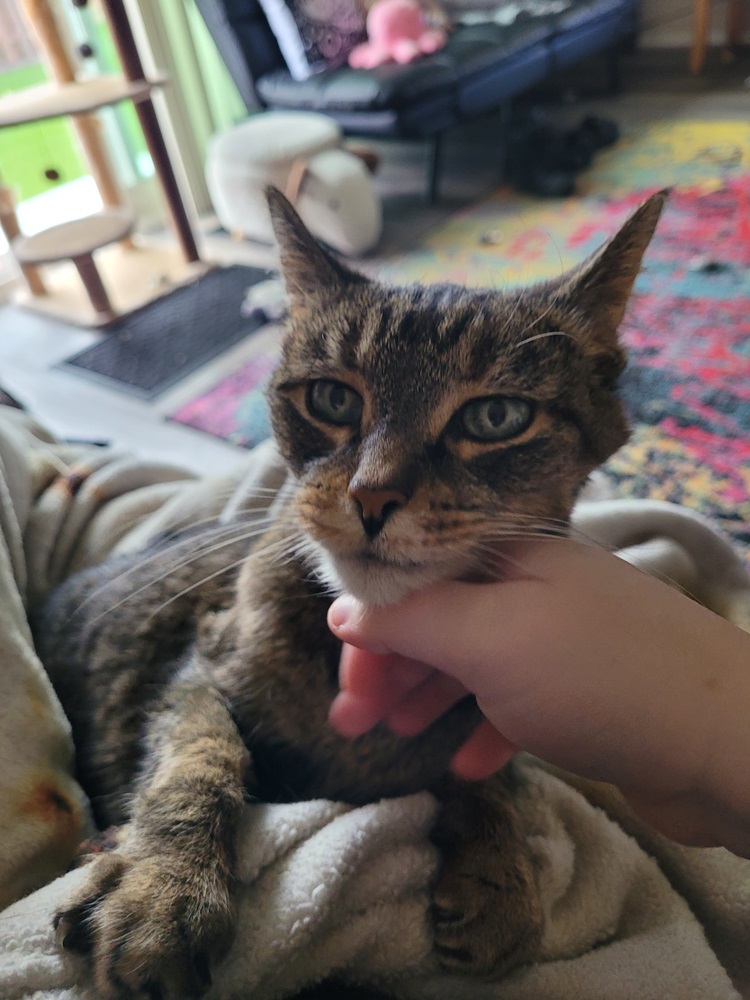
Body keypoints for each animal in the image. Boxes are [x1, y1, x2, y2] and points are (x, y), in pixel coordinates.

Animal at [35, 189, 668, 1000]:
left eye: (496, 417)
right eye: (333, 399)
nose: (372, 495)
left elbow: (489, 771)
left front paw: (501, 872)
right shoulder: (199, 668)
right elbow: (197, 763)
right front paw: (161, 891)